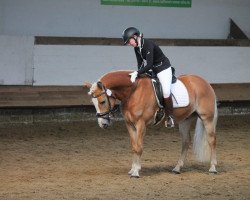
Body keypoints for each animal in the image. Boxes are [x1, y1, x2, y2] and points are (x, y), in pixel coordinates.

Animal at [84, 70, 217, 178]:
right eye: (93, 102)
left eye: (103, 101)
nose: (103, 124)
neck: (133, 91)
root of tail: (204, 82)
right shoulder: (130, 124)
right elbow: (134, 146)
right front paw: (132, 169)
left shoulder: (140, 124)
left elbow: (139, 147)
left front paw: (136, 172)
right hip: (185, 120)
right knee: (185, 142)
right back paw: (177, 168)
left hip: (207, 118)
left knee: (212, 140)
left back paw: (213, 168)